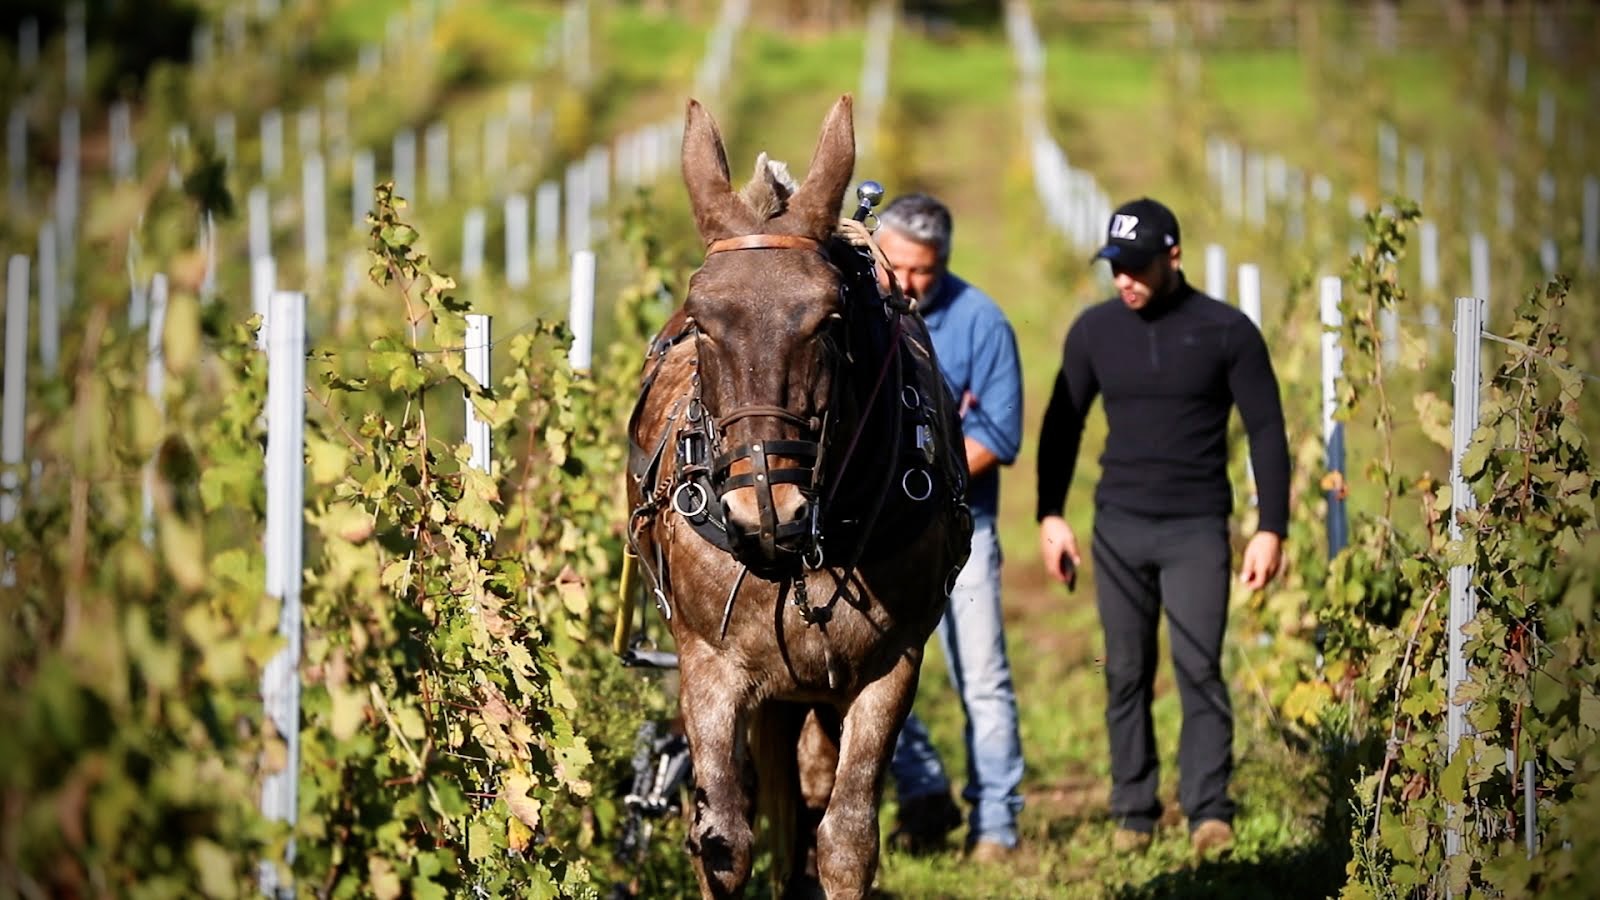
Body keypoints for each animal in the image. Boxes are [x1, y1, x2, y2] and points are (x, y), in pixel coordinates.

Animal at [623, 94, 974, 898]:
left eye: (829, 321)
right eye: (701, 322)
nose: (764, 512)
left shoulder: (890, 667)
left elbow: (844, 837)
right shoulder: (709, 666)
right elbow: (723, 838)